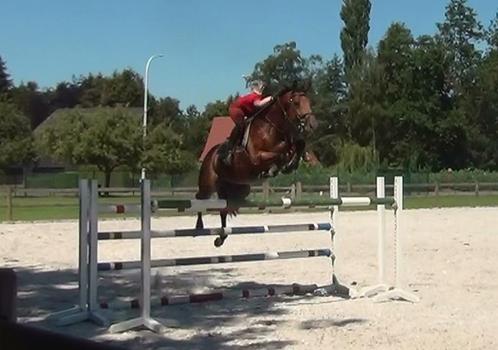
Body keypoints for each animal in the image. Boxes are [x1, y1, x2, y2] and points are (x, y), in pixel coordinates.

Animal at [196, 87, 318, 246]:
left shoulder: (289, 142)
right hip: (207, 184)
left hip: (238, 187)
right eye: (296, 102)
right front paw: (277, 168)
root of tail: (209, 155)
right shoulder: (258, 156)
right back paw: (199, 227)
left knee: (224, 209)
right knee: (199, 199)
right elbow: (279, 154)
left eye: (309, 101)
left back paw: (221, 238)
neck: (272, 127)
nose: (313, 124)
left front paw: (291, 163)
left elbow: (297, 144)